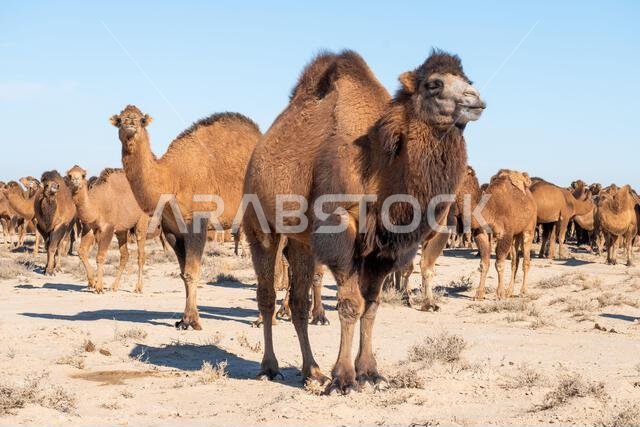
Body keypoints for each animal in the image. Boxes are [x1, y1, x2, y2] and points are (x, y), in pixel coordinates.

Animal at [111, 106, 260, 330]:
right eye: (120, 119)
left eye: (142, 120)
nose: (130, 122)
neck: (171, 179)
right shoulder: (172, 231)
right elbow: (183, 274)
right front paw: (184, 319)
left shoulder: (196, 221)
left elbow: (192, 271)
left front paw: (193, 321)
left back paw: (265, 319)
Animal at [243, 49, 485, 393]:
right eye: (434, 84)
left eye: (467, 80)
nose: (475, 99)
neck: (378, 166)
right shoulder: (340, 227)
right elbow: (350, 303)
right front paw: (344, 379)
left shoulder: (384, 246)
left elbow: (371, 305)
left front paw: (370, 373)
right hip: (261, 225)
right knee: (266, 293)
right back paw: (270, 367)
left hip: (302, 240)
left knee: (299, 301)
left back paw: (312, 371)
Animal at [473, 169, 537, 299]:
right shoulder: (482, 233)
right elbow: (484, 263)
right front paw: (479, 293)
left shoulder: (505, 234)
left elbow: (499, 263)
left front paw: (500, 293)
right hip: (515, 235)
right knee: (514, 261)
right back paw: (509, 291)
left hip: (529, 229)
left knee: (526, 260)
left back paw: (523, 291)